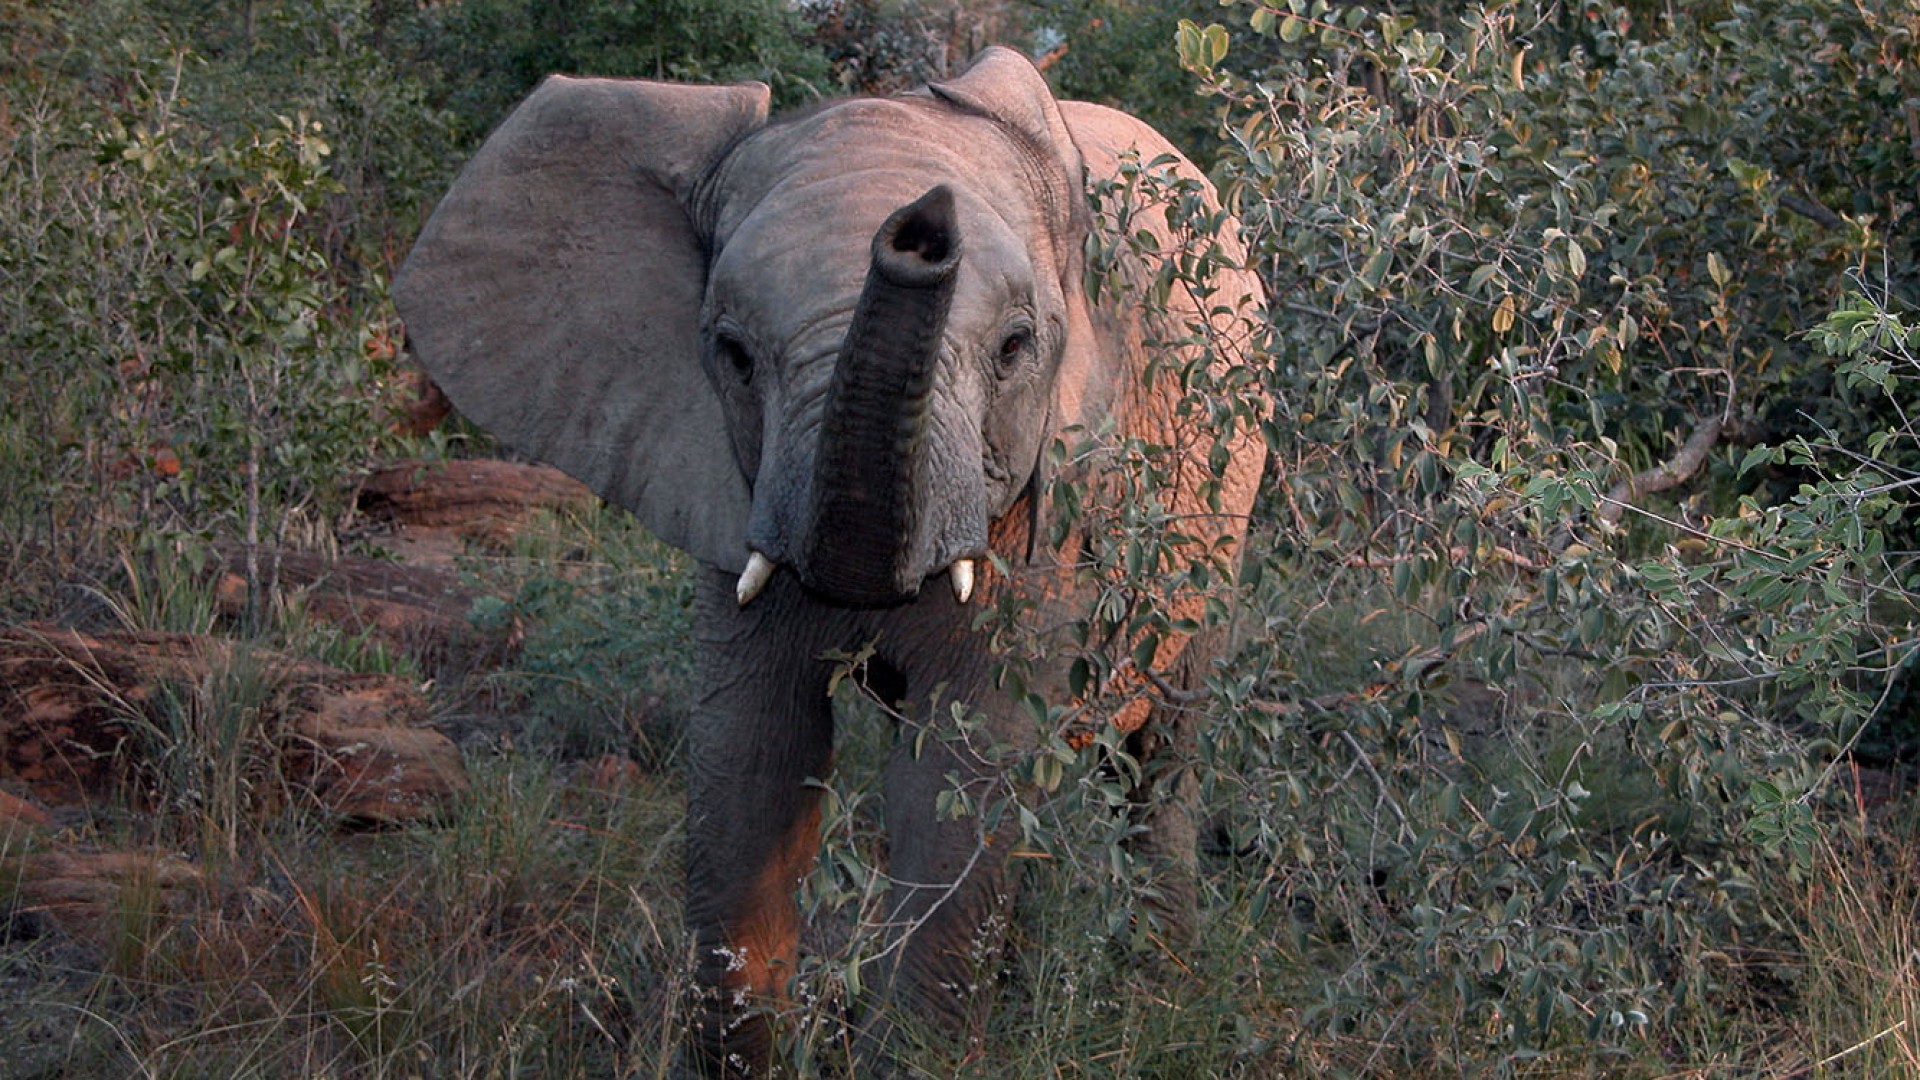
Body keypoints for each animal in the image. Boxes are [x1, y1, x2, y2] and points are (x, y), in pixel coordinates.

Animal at [394, 46, 1267, 1075]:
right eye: (731, 354)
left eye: (1016, 348)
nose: (920, 230)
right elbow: (750, 757)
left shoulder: (1049, 511)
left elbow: (958, 775)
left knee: (1159, 757)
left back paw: (1165, 990)